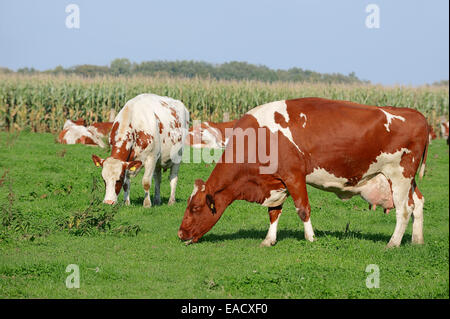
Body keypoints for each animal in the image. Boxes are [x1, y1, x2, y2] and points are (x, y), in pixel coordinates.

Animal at [179, 96, 428, 249]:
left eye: (195, 208)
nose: (180, 233)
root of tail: (417, 115)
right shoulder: (276, 182)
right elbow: (274, 212)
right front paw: (269, 240)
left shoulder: (294, 175)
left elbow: (302, 209)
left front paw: (311, 238)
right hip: (407, 181)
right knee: (418, 203)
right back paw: (417, 240)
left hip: (400, 176)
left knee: (403, 210)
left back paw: (393, 243)